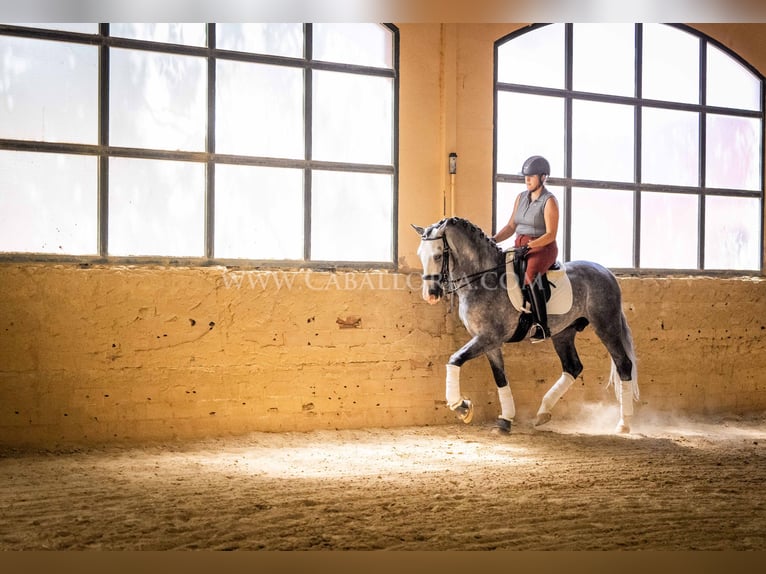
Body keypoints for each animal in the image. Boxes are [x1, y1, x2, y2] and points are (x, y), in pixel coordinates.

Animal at [414, 218, 640, 434]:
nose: (430, 294)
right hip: (563, 332)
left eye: (437, 256)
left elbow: (455, 359)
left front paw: (461, 406)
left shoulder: (489, 337)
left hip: (605, 325)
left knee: (623, 364)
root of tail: (606, 272)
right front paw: (505, 421)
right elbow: (500, 377)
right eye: (420, 255)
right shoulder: (489, 341)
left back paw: (623, 424)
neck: (483, 279)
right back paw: (542, 412)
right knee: (572, 367)